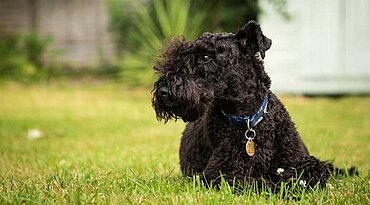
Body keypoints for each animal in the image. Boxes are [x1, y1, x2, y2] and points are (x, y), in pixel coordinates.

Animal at [151, 21, 356, 191]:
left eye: (206, 56)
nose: (163, 91)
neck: (249, 120)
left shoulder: (297, 159)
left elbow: (315, 167)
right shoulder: (217, 174)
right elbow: (259, 182)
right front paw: (287, 186)